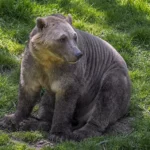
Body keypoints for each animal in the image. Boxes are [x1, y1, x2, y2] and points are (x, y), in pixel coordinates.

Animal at [0, 13, 131, 141]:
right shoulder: (33, 62)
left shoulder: (69, 72)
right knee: (47, 102)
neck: (48, 59)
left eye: (74, 37)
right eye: (62, 38)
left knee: (107, 99)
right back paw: (32, 123)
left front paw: (58, 134)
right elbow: (27, 90)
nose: (78, 54)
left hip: (113, 77)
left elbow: (65, 100)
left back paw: (82, 132)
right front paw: (10, 120)